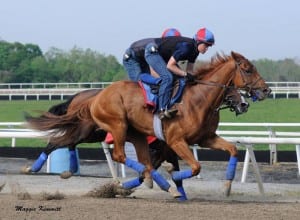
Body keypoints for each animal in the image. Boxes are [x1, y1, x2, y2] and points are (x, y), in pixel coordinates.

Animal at [25, 52, 270, 199]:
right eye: (247, 69)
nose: (265, 90)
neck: (198, 100)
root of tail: (93, 97)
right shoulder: (174, 142)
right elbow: (193, 167)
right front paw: (170, 181)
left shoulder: (203, 139)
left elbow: (233, 149)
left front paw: (226, 186)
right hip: (110, 127)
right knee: (91, 148)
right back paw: (34, 168)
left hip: (123, 134)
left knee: (68, 143)